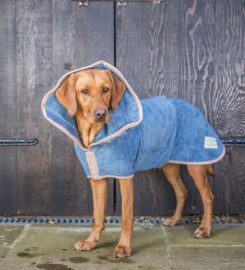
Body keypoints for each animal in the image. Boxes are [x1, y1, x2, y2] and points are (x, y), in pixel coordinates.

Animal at [41, 60, 225, 258]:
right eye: (84, 91)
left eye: (106, 89)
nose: (101, 114)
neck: (94, 135)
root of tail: (194, 108)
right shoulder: (97, 179)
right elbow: (97, 215)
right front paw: (91, 242)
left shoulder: (125, 178)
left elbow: (126, 218)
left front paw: (123, 247)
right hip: (168, 164)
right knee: (182, 191)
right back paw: (175, 220)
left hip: (196, 162)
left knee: (208, 196)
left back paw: (205, 229)